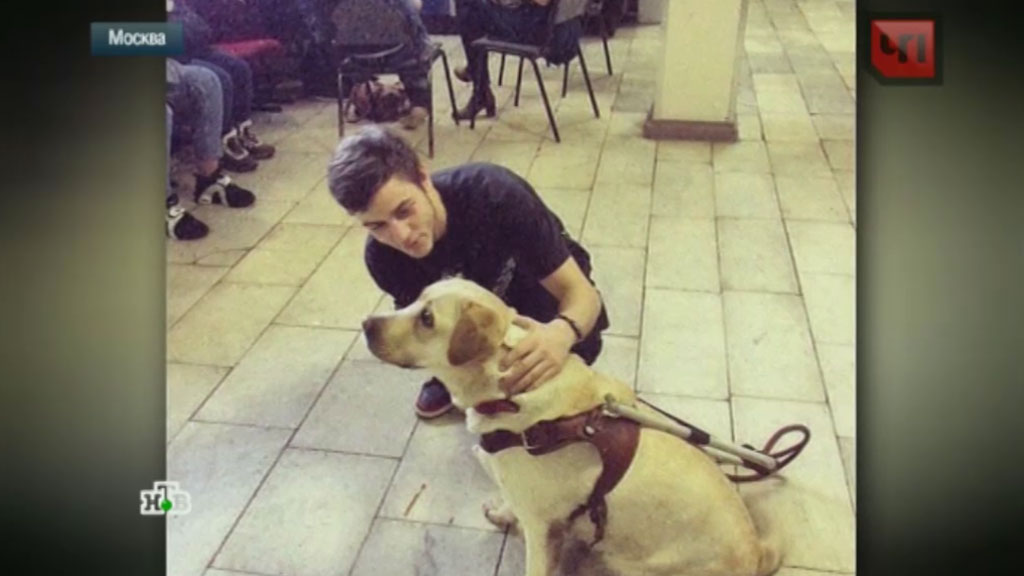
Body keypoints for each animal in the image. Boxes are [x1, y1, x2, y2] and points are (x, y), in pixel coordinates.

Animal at [363, 278, 781, 576]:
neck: (508, 392)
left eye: (427, 319)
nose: (366, 324)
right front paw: (502, 513)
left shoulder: (541, 527)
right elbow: (509, 504)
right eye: (415, 299)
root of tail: (757, 554)